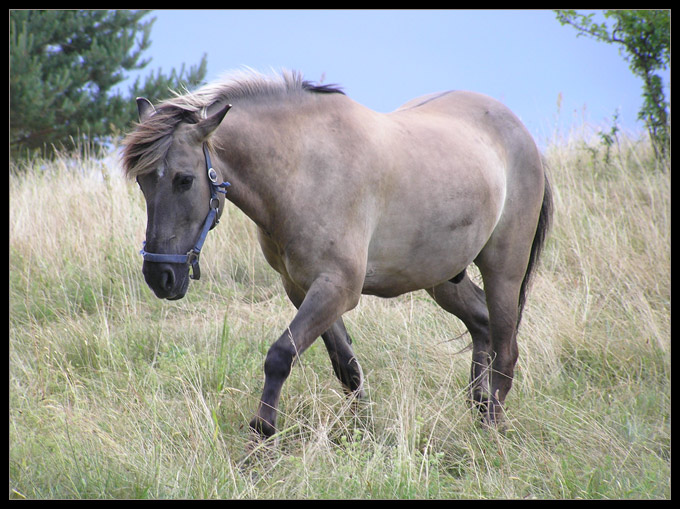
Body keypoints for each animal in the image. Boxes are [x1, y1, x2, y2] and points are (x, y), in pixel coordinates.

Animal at [122, 69, 552, 438]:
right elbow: (346, 368)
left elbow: (280, 356)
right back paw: (479, 408)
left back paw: (491, 427)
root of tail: (519, 132)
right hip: (443, 276)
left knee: (506, 348)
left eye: (184, 180)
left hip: (503, 270)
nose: (160, 276)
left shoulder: (336, 289)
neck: (303, 168)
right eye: (143, 181)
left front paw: (261, 436)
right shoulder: (302, 289)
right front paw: (363, 433)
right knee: (481, 324)